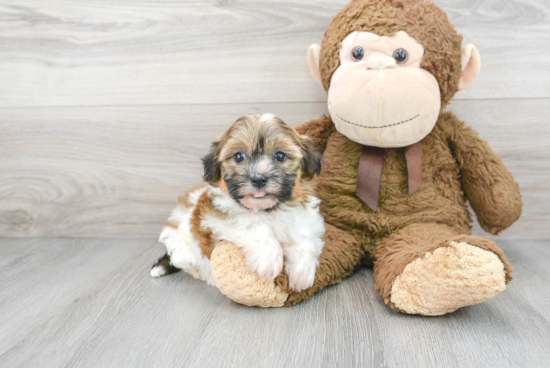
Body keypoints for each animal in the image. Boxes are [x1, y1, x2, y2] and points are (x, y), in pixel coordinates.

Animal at [149, 113, 326, 292]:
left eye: (280, 156)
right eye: (239, 156)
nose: (259, 178)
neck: (266, 209)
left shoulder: (306, 218)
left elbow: (304, 234)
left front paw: (303, 270)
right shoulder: (214, 217)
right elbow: (253, 225)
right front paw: (268, 258)